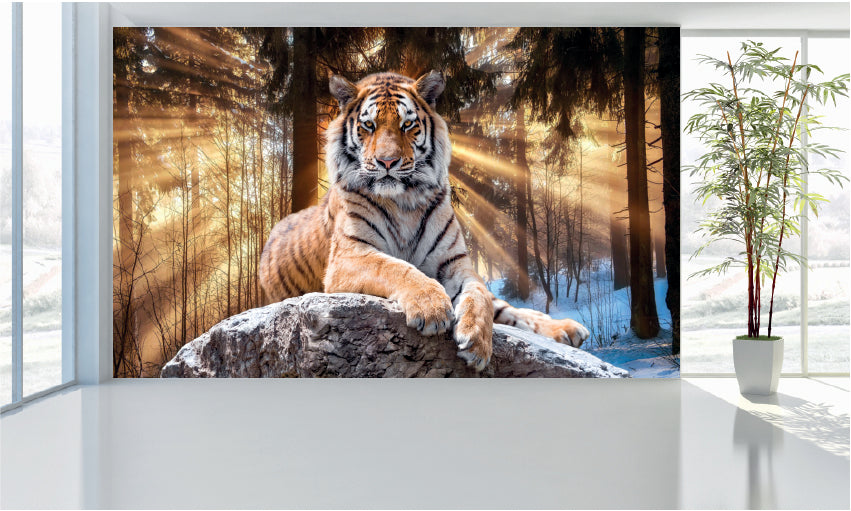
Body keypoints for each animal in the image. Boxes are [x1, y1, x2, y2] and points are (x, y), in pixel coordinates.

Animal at [258, 70, 590, 372]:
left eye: (407, 124)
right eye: (369, 125)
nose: (387, 162)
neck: (404, 201)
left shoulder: (456, 263)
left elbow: (479, 295)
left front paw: (477, 343)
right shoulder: (349, 256)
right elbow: (395, 267)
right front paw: (432, 307)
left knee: (507, 308)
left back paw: (567, 328)